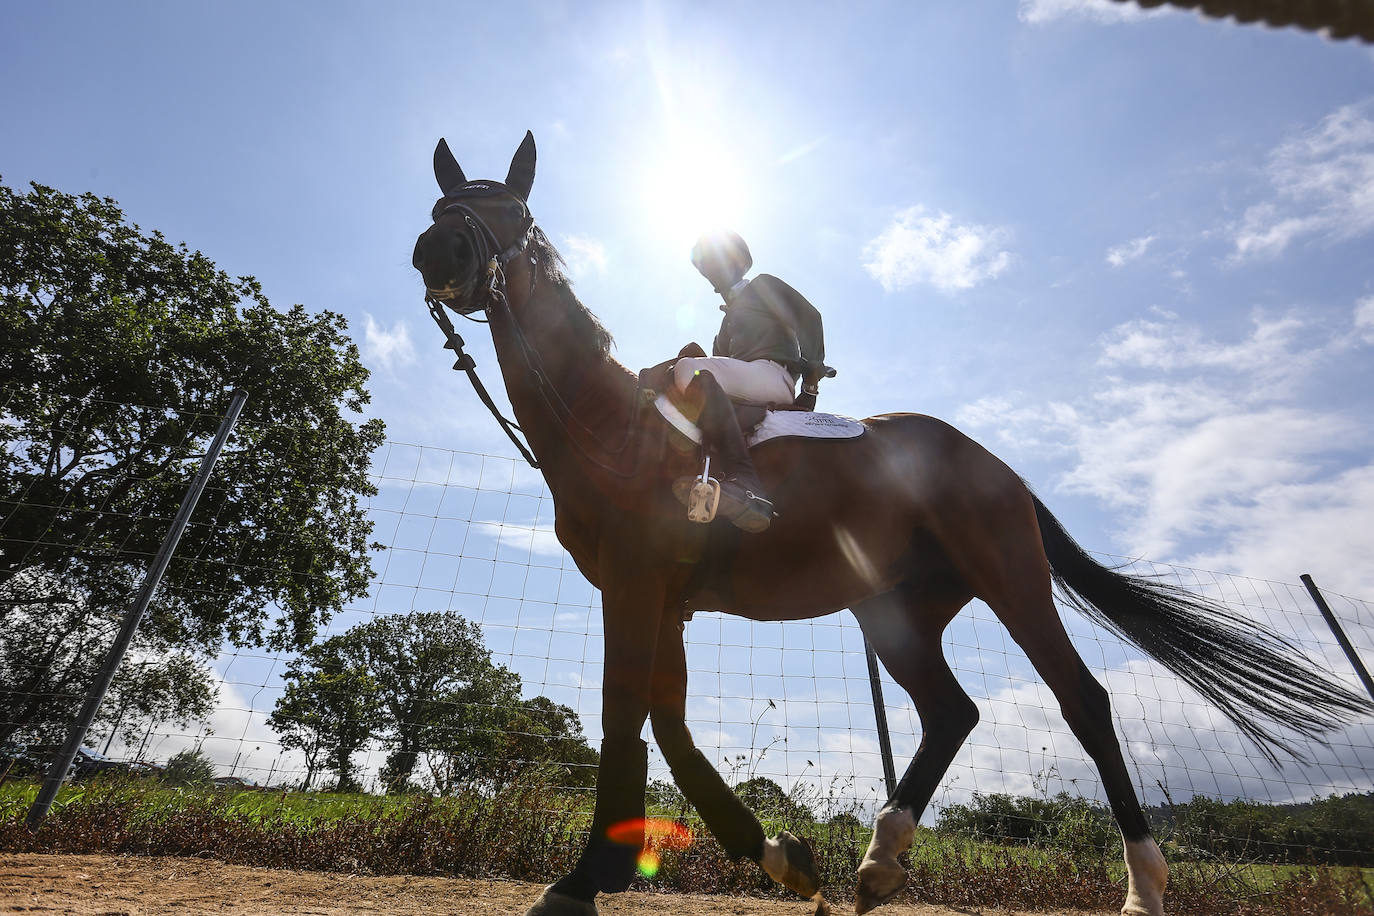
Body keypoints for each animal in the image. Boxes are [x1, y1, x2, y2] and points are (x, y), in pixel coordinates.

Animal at [409, 130, 1374, 916]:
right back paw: (880, 860)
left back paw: (1143, 885)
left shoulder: (638, 583)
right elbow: (669, 722)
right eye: (442, 204)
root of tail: (989, 461)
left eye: (511, 211)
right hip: (896, 612)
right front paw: (776, 854)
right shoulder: (661, 594)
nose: (437, 248)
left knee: (1082, 702)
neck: (609, 420)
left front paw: (585, 878)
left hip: (1010, 581)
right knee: (951, 712)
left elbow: (626, 714)